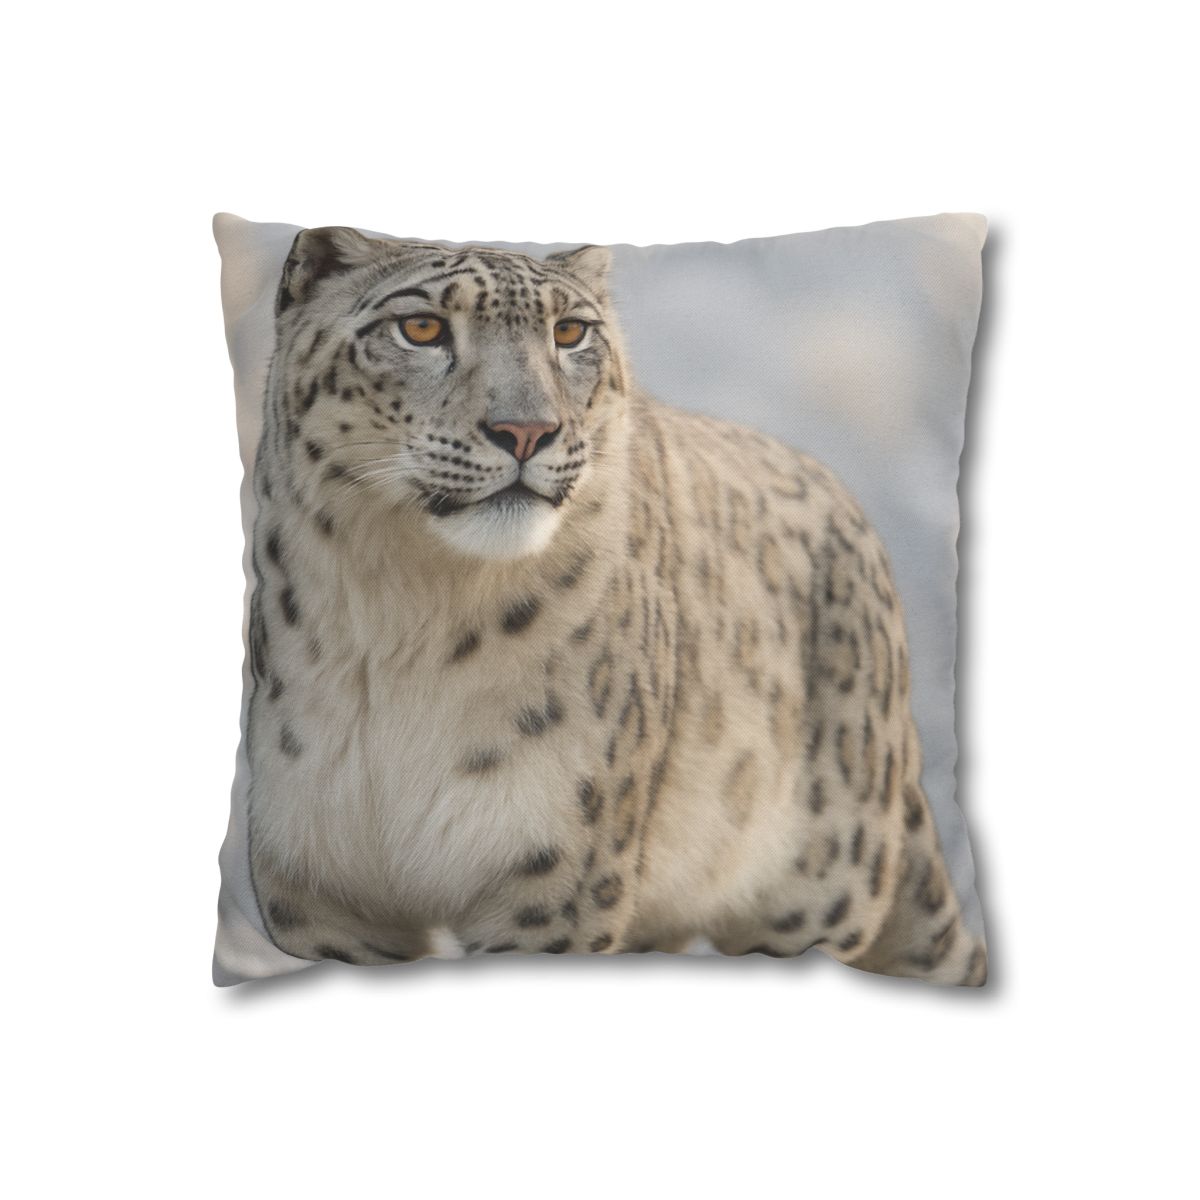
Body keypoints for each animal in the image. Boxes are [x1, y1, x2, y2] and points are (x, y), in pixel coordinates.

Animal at [243, 225, 986, 986]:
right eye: (420, 327)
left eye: (570, 332)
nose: (526, 431)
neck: (405, 616)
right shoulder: (324, 893)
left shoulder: (553, 882)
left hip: (812, 894)